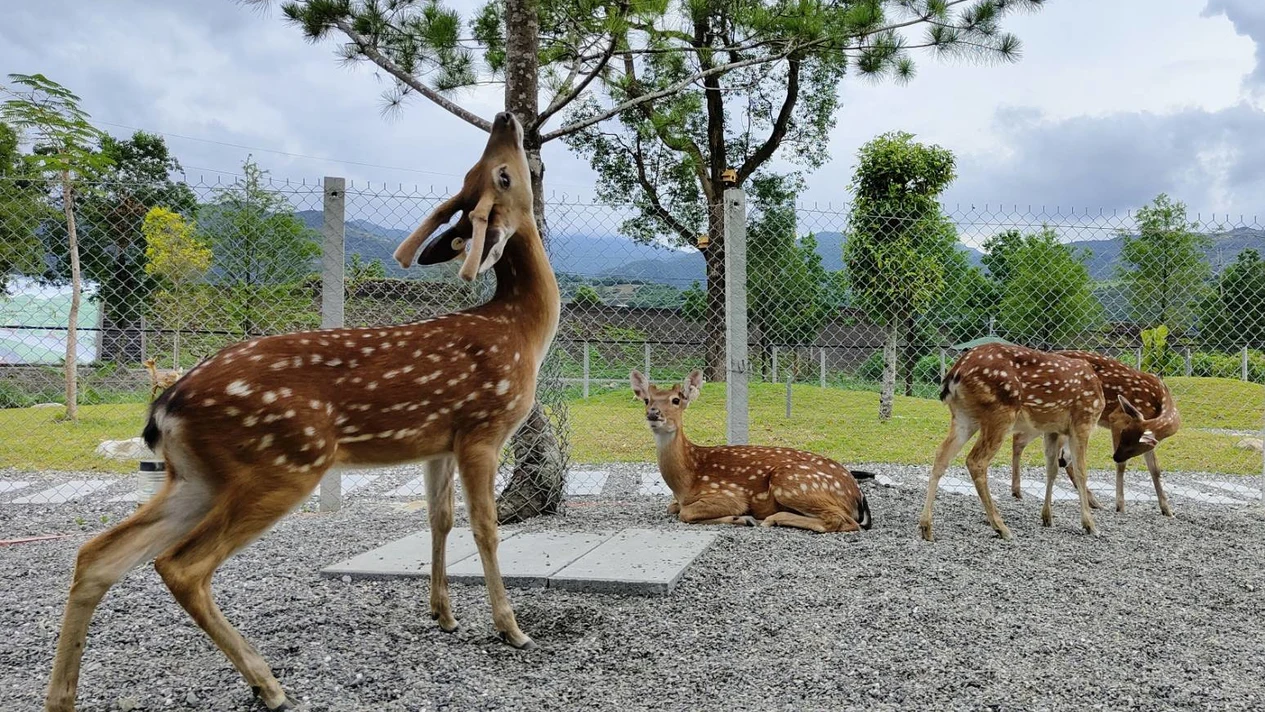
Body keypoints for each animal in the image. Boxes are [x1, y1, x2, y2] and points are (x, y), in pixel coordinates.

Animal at [44, 112, 559, 712]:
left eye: (485, 173)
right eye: (501, 175)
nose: (505, 117)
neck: (520, 331)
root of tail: (164, 404)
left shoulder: (439, 441)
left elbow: (441, 518)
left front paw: (444, 616)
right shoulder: (484, 427)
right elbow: (485, 526)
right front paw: (511, 628)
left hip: (196, 476)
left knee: (96, 555)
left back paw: (62, 696)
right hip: (285, 462)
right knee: (180, 564)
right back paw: (267, 683)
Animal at [631, 369, 875, 533]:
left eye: (676, 400)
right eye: (646, 400)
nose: (653, 413)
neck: (686, 480)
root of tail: (856, 492)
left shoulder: (730, 494)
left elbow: (685, 513)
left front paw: (743, 518)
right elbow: (672, 508)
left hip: (790, 482)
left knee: (842, 521)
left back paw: (772, 518)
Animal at [919, 343, 1105, 542]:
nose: (1064, 459)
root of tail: (955, 372)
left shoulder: (1052, 429)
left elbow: (1052, 469)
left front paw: (1047, 517)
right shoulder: (1083, 421)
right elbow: (1081, 471)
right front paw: (1090, 525)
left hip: (964, 416)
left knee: (941, 455)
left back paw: (926, 527)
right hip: (1001, 412)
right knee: (976, 461)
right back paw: (1001, 527)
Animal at [1009, 350, 1179, 517]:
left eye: (1133, 448)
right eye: (1124, 436)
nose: (1115, 456)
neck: (1159, 401)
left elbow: (1155, 468)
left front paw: (1166, 509)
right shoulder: (1117, 418)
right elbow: (1122, 466)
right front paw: (1120, 506)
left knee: (1023, 441)